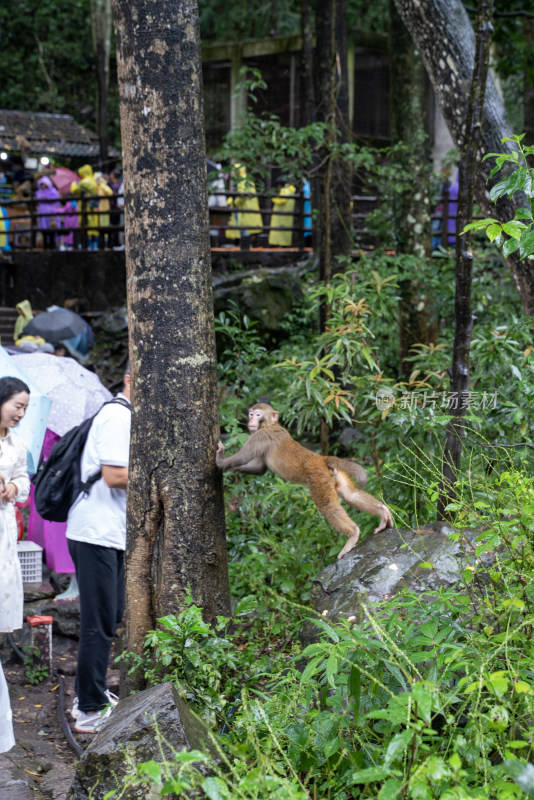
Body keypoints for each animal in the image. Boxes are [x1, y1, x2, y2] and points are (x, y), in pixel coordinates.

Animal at [216, 404, 396, 560]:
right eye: (251, 414)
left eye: (258, 414)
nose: (250, 420)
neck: (269, 425)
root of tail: (322, 459)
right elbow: (259, 469)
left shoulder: (260, 436)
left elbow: (242, 457)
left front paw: (220, 460)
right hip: (337, 476)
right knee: (351, 495)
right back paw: (382, 512)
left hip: (318, 479)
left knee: (327, 506)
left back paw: (353, 534)